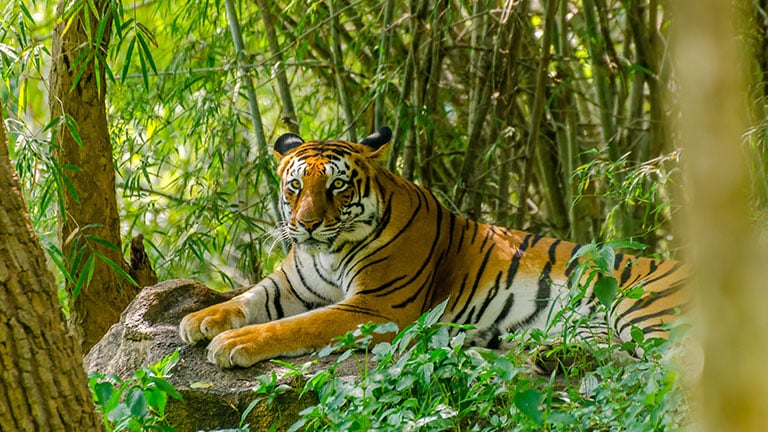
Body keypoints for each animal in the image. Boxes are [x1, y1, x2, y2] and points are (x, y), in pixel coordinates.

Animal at [180, 126, 688, 366]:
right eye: (294, 186)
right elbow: (247, 298)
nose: (305, 224)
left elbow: (297, 326)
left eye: (337, 187)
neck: (327, 249)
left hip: (639, 309)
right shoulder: (288, 284)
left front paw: (232, 342)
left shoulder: (376, 308)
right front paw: (198, 320)